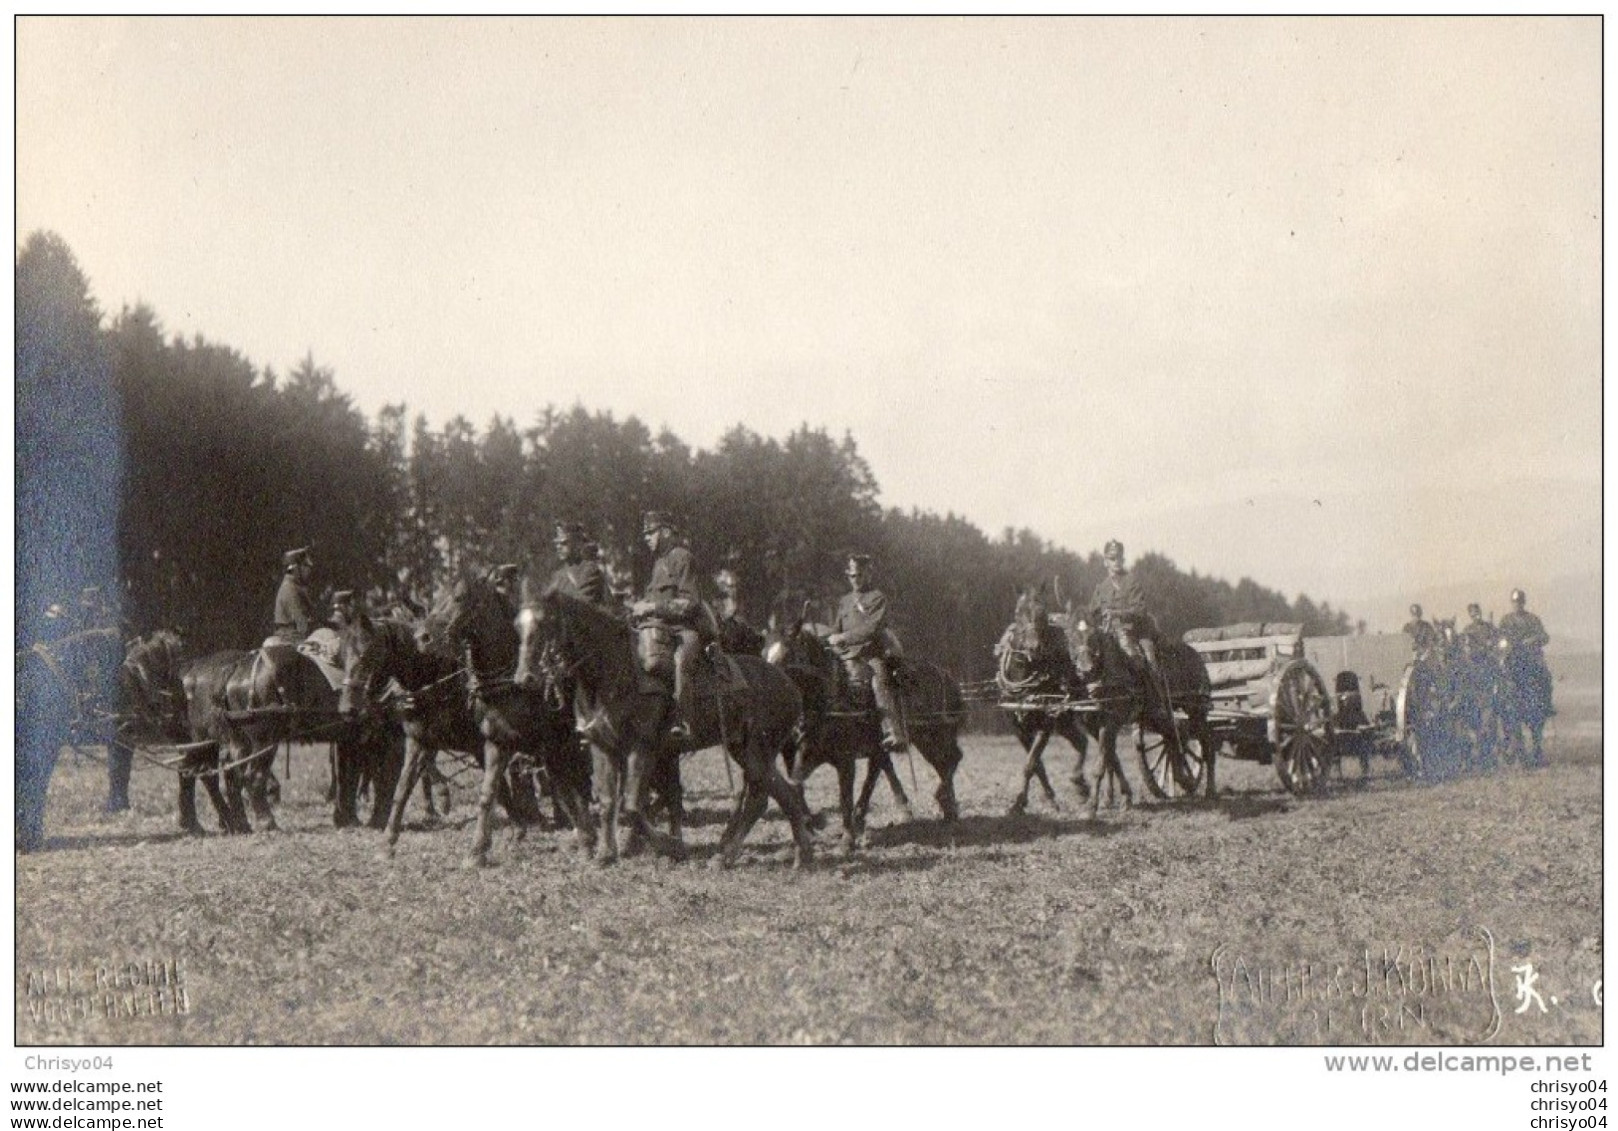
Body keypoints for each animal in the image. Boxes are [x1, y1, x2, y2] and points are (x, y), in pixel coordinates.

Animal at [433, 576, 598, 867]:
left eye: (459, 597)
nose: (425, 635)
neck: (512, 683)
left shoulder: (552, 746)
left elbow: (568, 790)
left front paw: (586, 841)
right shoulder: (496, 743)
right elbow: (488, 794)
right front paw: (477, 851)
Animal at [517, 582, 821, 867]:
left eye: (546, 622)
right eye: (518, 626)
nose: (525, 678)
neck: (612, 673)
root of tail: (789, 684)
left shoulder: (642, 748)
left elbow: (632, 807)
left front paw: (670, 846)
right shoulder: (603, 747)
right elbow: (608, 803)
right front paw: (606, 854)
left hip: (757, 752)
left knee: (772, 796)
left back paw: (793, 856)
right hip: (742, 750)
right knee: (766, 797)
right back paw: (738, 856)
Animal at [990, 592, 1093, 815]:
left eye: (1042, 615)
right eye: (1017, 614)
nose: (1034, 647)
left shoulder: (1045, 726)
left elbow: (1030, 763)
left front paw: (1020, 802)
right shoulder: (1018, 729)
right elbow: (1036, 764)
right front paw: (1045, 799)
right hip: (1064, 721)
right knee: (1082, 742)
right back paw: (1083, 787)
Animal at [1061, 618, 1216, 815]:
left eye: (1094, 638)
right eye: (1071, 640)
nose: (1085, 669)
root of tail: (1197, 655)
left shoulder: (1111, 723)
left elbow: (1102, 763)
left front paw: (1091, 806)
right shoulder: (1094, 726)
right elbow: (1112, 759)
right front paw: (1113, 798)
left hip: (1197, 711)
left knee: (1207, 745)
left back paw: (1210, 790)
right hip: (1158, 718)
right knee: (1174, 737)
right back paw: (1182, 778)